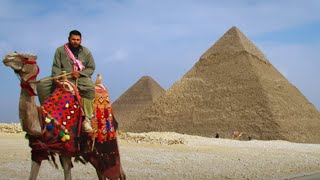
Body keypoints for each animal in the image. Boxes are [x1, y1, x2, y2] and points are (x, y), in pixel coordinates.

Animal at [3, 52, 127, 180]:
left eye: (26, 57)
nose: (8, 57)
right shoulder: (39, 149)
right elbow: (33, 175)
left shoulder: (67, 148)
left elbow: (67, 173)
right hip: (92, 151)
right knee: (100, 172)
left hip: (107, 143)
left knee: (119, 172)